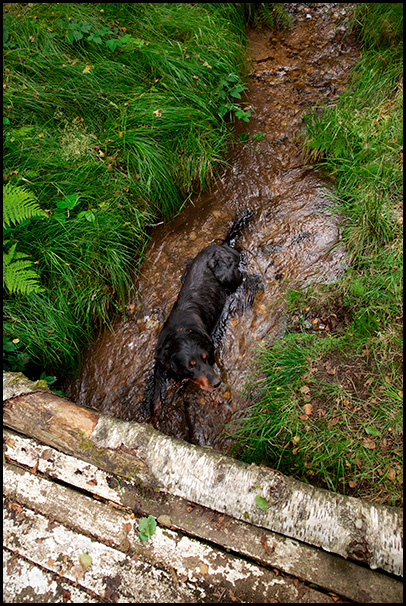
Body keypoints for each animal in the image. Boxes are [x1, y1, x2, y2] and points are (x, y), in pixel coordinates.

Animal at [142, 211, 256, 420]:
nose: (217, 382)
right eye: (191, 365)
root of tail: (224, 246)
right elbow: (156, 388)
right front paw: (153, 408)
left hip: (228, 274)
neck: (180, 332)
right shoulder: (161, 359)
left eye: (206, 358)